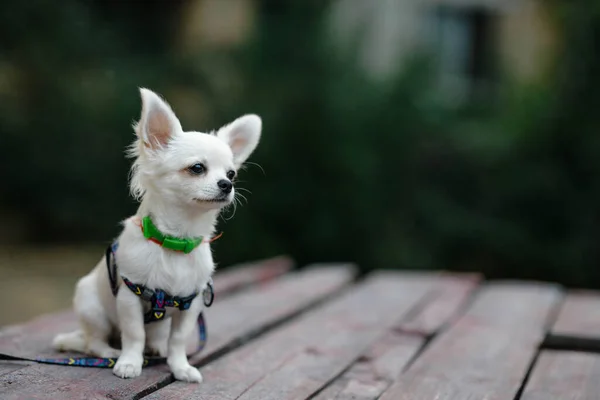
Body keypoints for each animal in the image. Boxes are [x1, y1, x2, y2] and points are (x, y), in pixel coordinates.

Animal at [53, 89, 262, 382]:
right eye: (197, 168)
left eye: (231, 173)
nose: (227, 184)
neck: (176, 241)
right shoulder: (129, 297)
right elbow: (134, 334)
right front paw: (130, 363)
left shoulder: (190, 305)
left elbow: (178, 340)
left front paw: (180, 367)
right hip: (92, 308)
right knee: (95, 341)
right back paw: (111, 352)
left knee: (153, 336)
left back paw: (154, 349)